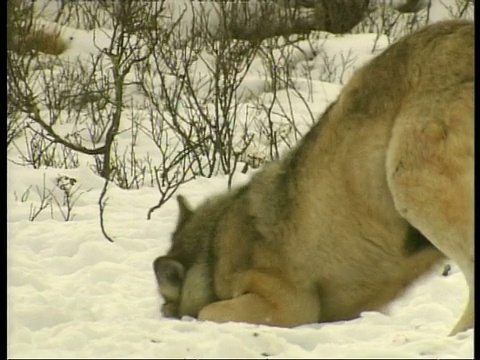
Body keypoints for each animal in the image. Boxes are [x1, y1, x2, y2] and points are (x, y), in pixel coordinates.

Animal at [153, 19, 472, 334]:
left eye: (167, 305)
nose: (165, 312)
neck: (213, 253)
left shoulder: (289, 304)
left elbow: (206, 311)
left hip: (409, 187)